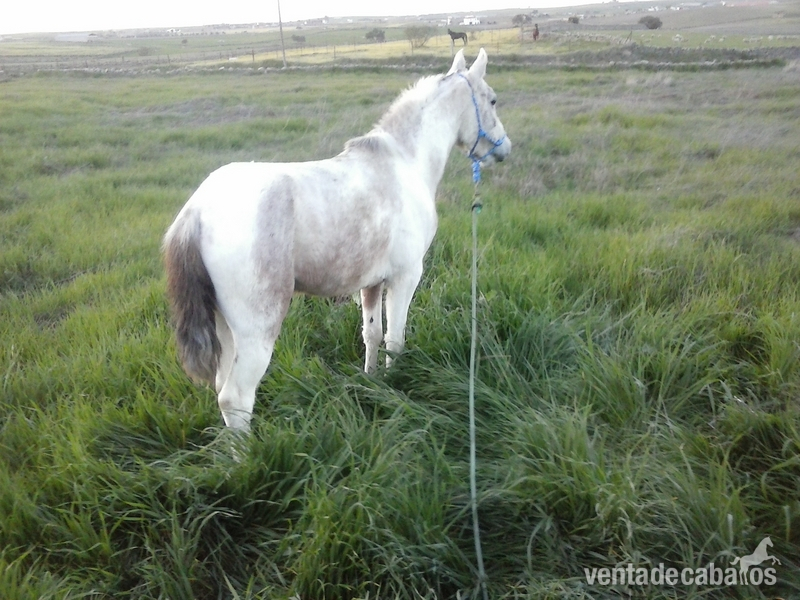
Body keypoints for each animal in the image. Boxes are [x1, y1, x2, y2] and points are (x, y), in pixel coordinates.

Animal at [163, 49, 511, 431]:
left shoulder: (371, 283)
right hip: (257, 327)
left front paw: (375, 383)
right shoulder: (405, 277)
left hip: (224, 325)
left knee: (220, 384)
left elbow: (372, 335)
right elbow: (395, 339)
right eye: (493, 99)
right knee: (236, 397)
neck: (404, 163)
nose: (504, 149)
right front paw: (395, 384)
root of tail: (196, 212)